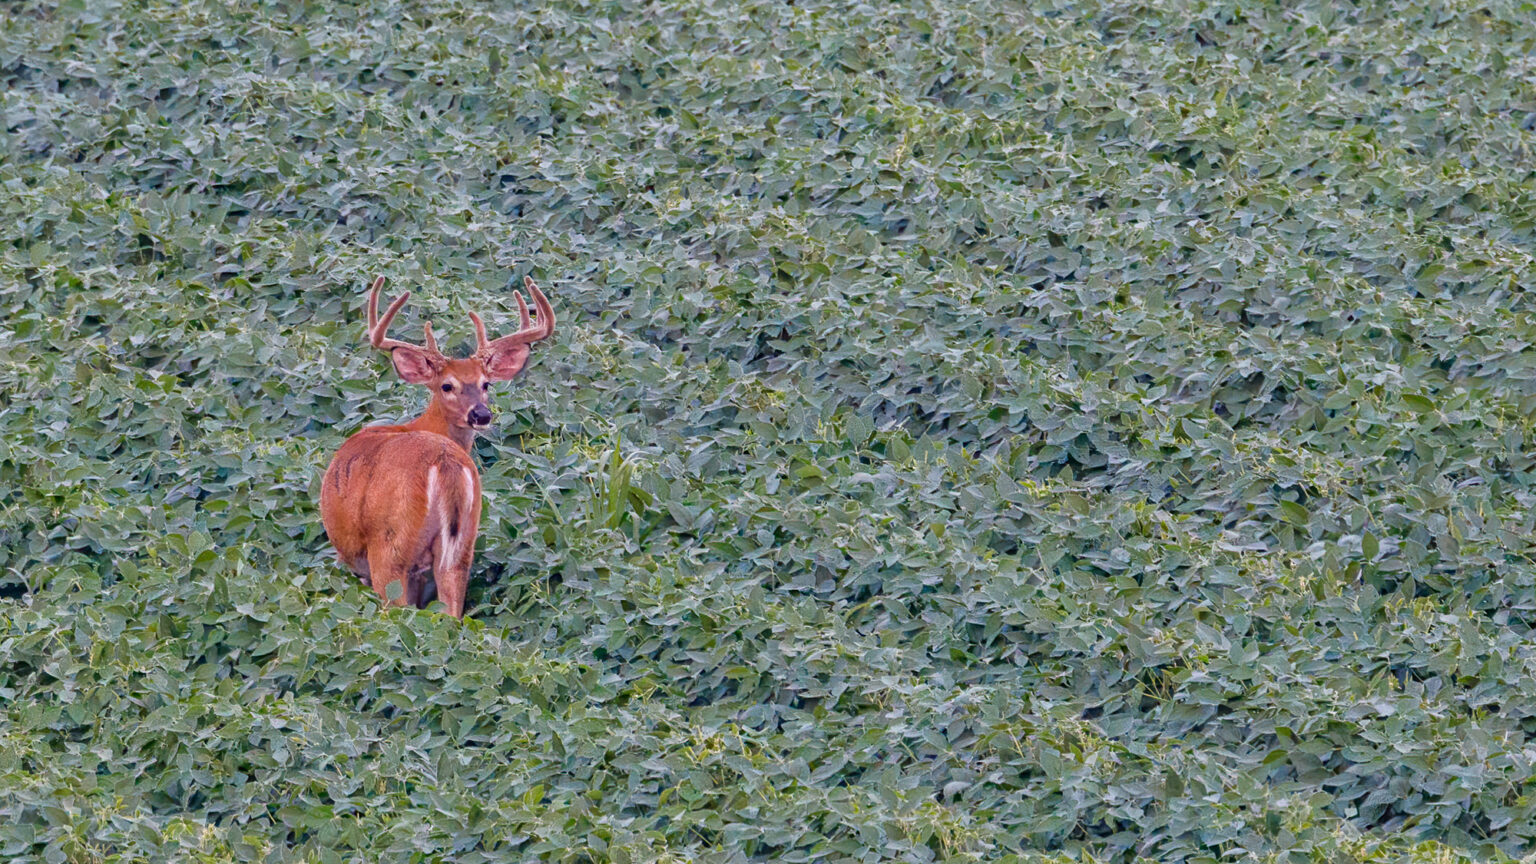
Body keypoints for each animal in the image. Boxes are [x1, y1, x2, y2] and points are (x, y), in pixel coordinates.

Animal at [319, 274, 555, 618]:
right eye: (447, 385)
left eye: (485, 383)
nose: (481, 414)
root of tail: (445, 462)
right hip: (462, 546)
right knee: (451, 612)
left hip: (389, 547)